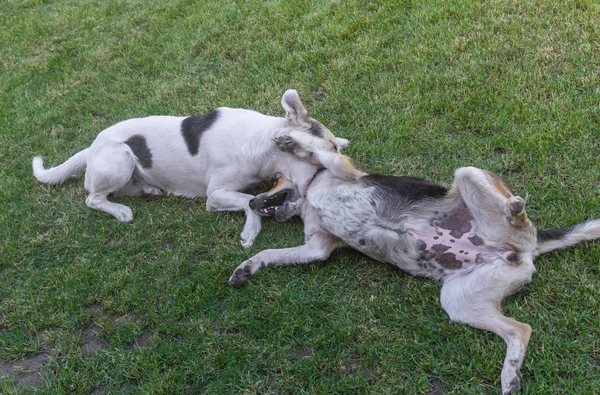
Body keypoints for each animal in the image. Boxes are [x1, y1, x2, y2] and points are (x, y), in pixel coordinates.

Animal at [32, 91, 350, 249]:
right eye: (326, 152)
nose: (348, 172)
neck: (260, 143)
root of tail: (92, 148)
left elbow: (250, 200)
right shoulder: (215, 193)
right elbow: (249, 201)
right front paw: (250, 230)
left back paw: (148, 188)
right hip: (120, 157)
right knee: (93, 198)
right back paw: (120, 210)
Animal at [229, 131, 600, 394]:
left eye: (276, 179)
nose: (252, 201)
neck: (309, 197)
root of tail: (525, 247)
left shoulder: (343, 170)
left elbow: (320, 151)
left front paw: (292, 141)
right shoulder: (316, 247)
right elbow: (269, 254)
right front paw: (247, 267)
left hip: (469, 175)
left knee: (517, 217)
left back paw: (515, 208)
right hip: (459, 301)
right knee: (520, 329)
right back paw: (510, 376)